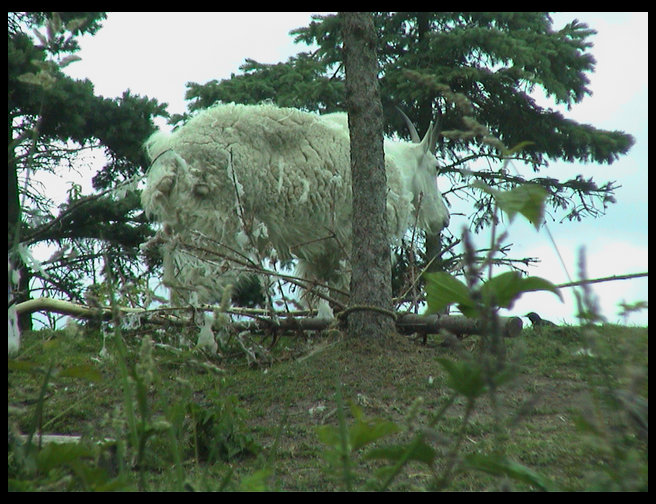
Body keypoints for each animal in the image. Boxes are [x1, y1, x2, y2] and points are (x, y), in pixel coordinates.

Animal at [141, 102, 449, 316]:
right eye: (436, 167)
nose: (443, 220)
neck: (397, 166)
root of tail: (168, 153)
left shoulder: (321, 251)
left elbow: (316, 295)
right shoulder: (349, 240)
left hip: (182, 225)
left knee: (174, 274)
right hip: (214, 229)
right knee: (194, 280)